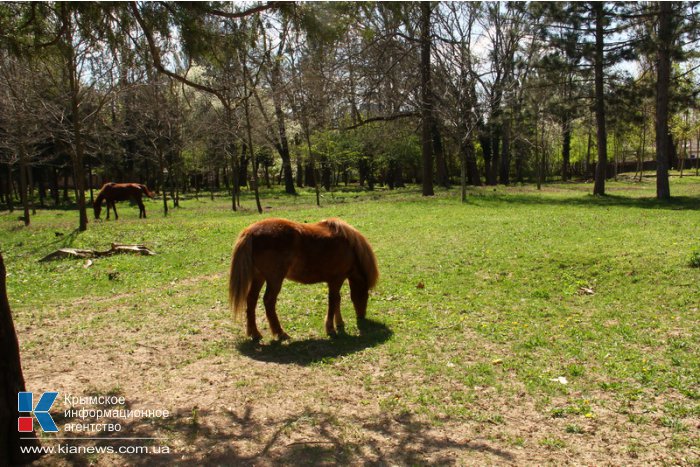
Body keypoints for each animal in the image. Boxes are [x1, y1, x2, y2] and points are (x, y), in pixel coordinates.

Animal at [230, 218, 378, 342]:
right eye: (365, 295)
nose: (361, 316)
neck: (348, 246)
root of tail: (250, 232)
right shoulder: (336, 280)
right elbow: (333, 301)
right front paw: (330, 328)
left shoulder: (334, 281)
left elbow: (337, 300)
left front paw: (339, 323)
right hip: (274, 279)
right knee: (268, 302)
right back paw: (280, 333)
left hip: (259, 277)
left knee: (251, 300)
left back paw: (254, 333)